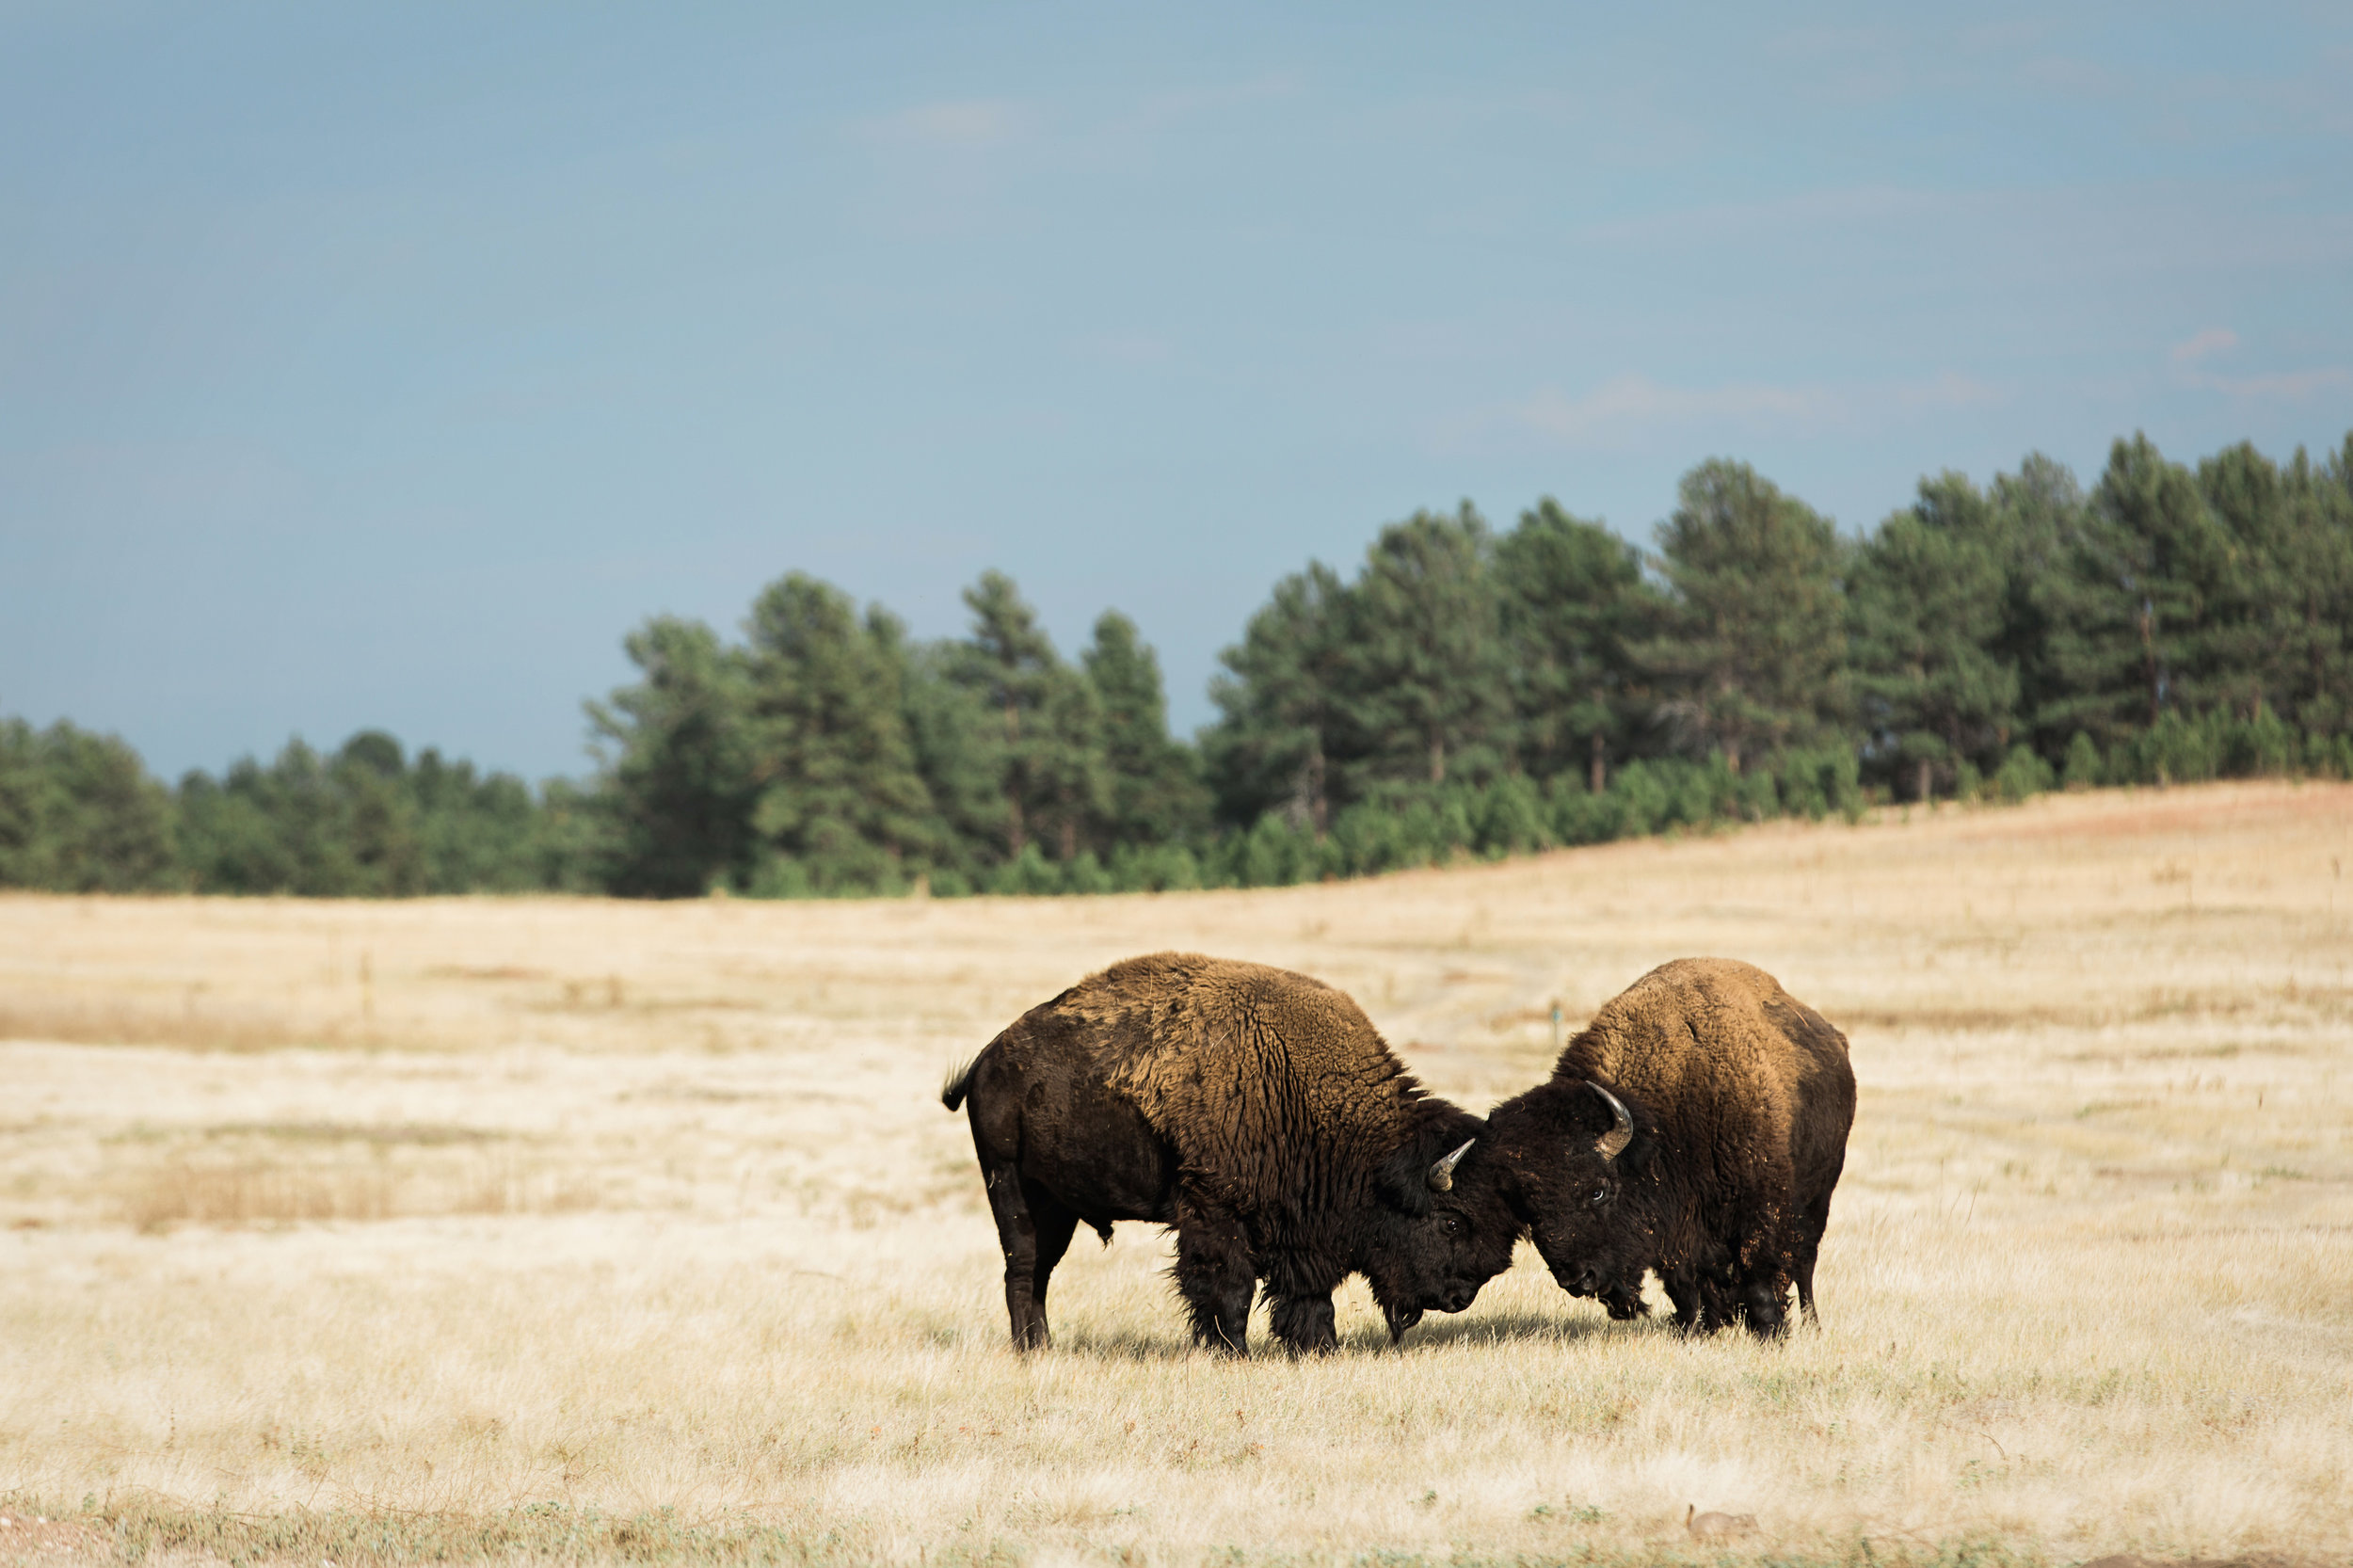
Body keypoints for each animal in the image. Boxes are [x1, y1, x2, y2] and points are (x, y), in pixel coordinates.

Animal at [936, 946, 1562, 1346]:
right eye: (1452, 1221)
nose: (1459, 1297)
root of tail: (988, 1059)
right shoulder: (1215, 1211)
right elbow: (1227, 1289)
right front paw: (1231, 1351)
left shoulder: (1302, 1231)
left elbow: (1308, 1296)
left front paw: (1317, 1347)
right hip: (1010, 1184)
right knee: (1022, 1268)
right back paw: (1030, 1350)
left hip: (1057, 1203)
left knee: (1041, 1271)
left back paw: (1045, 1346)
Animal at [1468, 951, 1854, 1327]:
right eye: (1531, 1208)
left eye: (1598, 1191)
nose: (1579, 1279)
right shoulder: (1678, 1231)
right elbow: (1686, 1286)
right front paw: (1696, 1326)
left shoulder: (1761, 1210)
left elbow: (1760, 1279)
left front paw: (1769, 1330)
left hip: (1817, 1200)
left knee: (1805, 1263)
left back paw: (1811, 1324)